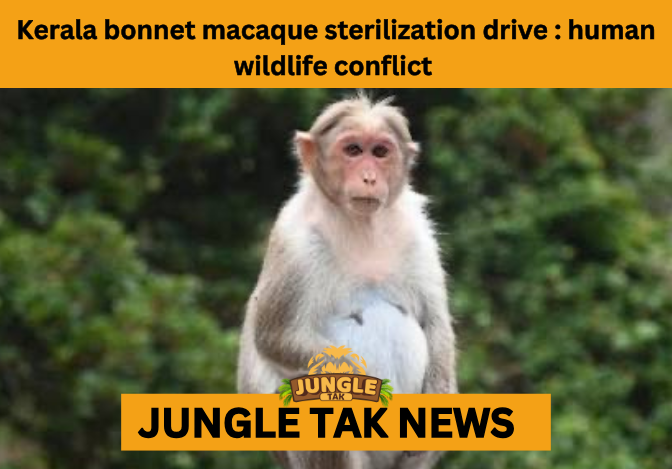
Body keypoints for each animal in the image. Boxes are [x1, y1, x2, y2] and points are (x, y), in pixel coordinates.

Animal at [237, 94, 457, 469]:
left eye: (380, 152)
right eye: (353, 150)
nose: (369, 177)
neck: (359, 223)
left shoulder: (417, 229)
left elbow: (435, 322)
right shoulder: (296, 242)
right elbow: (275, 337)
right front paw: (360, 379)